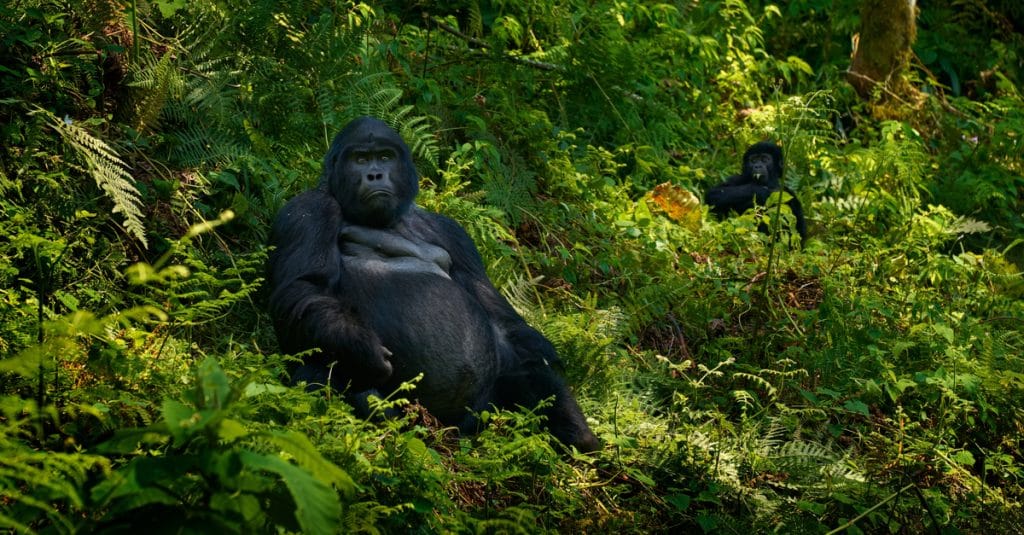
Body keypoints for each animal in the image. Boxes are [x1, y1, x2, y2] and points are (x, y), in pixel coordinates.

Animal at [268, 115, 598, 448]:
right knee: (318, 363)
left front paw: (567, 411)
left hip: (478, 417)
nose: (375, 174)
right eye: (360, 159)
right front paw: (361, 347)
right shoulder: (307, 209)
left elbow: (500, 318)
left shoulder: (452, 232)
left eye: (384, 157)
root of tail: (444, 430)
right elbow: (305, 289)